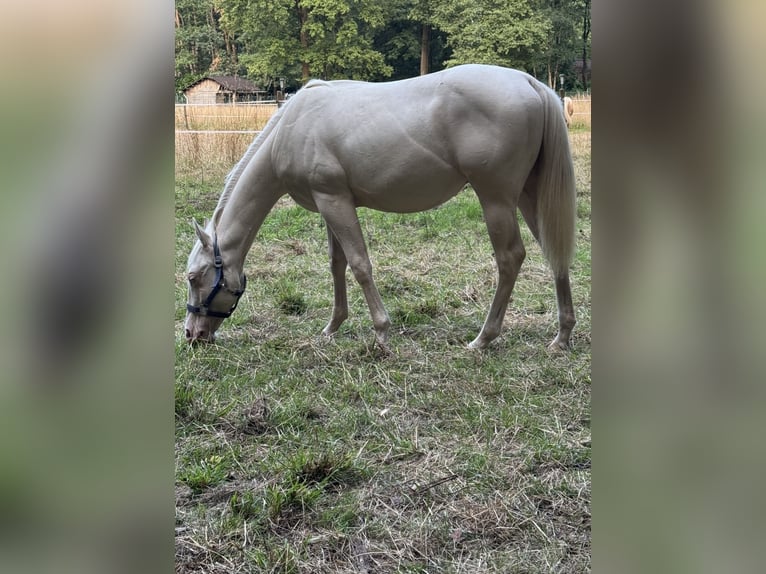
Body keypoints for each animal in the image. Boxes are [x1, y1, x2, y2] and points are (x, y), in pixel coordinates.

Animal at [184, 64, 576, 351]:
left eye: (192, 277)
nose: (193, 334)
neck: (291, 129)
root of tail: (530, 83)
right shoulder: (329, 203)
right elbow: (337, 264)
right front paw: (332, 327)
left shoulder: (335, 202)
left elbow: (359, 264)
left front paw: (381, 332)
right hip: (527, 196)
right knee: (554, 251)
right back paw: (562, 335)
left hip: (495, 199)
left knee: (510, 258)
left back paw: (483, 338)